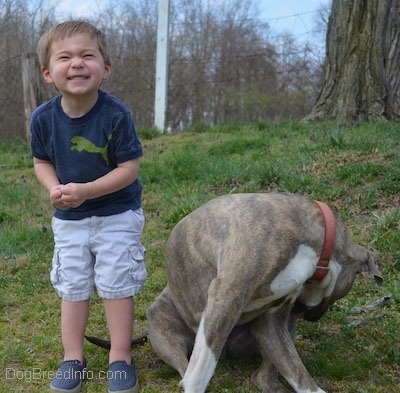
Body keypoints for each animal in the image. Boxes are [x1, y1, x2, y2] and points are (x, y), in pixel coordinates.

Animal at [145, 193, 382, 392]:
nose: (309, 315)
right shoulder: (226, 298)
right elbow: (199, 372)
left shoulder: (272, 320)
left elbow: (299, 375)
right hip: (165, 332)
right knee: (185, 366)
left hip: (280, 329)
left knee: (264, 376)